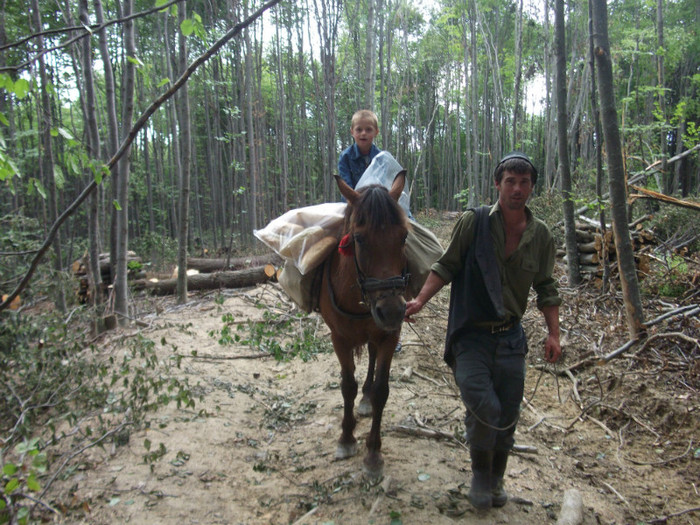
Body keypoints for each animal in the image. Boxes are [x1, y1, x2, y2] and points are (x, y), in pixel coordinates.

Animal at [318, 174, 410, 476]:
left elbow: (382, 389)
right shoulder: (339, 339)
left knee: (371, 355)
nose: (392, 311)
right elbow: (347, 386)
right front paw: (346, 439)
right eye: (359, 238)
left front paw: (373, 453)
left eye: (404, 236)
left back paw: (367, 399)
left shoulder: (390, 336)